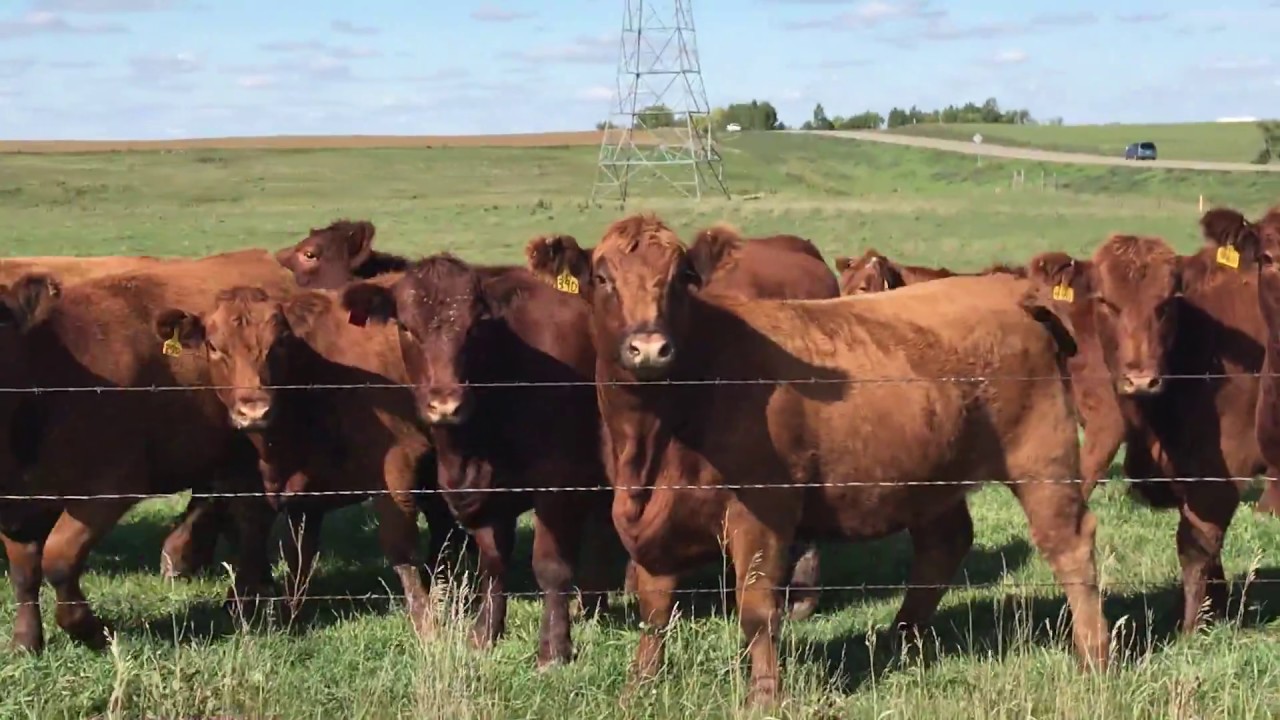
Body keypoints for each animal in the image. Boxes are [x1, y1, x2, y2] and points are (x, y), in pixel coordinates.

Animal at [0, 251, 298, 653]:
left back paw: (249, 598)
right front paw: (25, 641)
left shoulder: (107, 490)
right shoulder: (16, 504)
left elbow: (58, 560)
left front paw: (90, 630)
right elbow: (24, 573)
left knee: (251, 520)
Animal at [154, 283, 472, 636]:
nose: (254, 410)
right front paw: (285, 617)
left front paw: (426, 623)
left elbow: (399, 545)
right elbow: (294, 554)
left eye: (279, 343)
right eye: (213, 346)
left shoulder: (397, 465)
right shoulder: (295, 491)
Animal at [340, 254, 621, 666]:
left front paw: (553, 649)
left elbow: (551, 567)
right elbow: (492, 562)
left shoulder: (559, 486)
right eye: (406, 327)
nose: (445, 404)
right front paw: (484, 633)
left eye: (474, 328)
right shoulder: (485, 494)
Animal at [1018, 222, 1275, 639]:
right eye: (1106, 302)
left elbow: (1196, 542)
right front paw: (1215, 611)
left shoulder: (1218, 469)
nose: (1141, 380)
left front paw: (1191, 628)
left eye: (1166, 303)